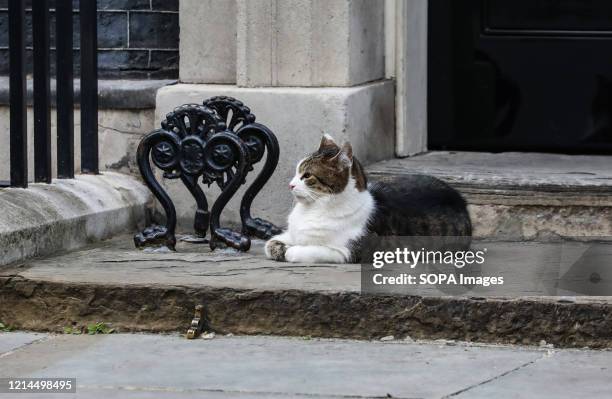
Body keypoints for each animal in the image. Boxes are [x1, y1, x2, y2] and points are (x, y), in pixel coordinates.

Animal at [264, 136, 474, 264]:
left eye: (307, 175)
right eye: (296, 172)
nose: (290, 185)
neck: (313, 208)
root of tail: (459, 198)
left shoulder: (347, 251)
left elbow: (303, 250)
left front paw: (290, 250)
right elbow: (271, 243)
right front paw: (278, 246)